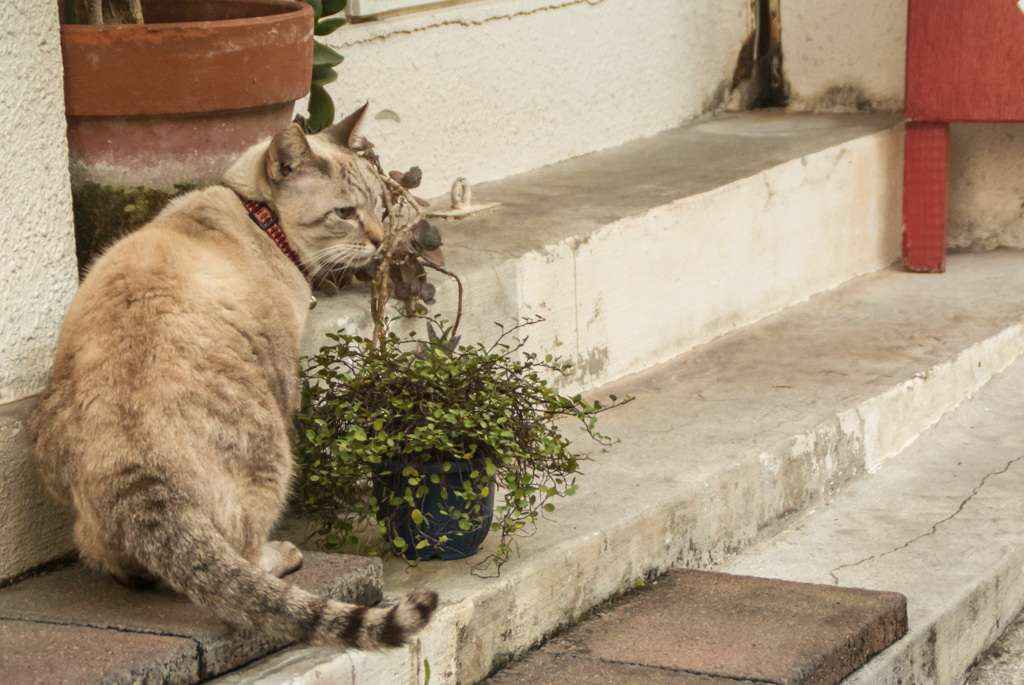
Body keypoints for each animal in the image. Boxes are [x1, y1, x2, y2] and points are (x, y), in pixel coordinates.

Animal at [28, 104, 436, 651]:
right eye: (345, 213)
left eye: (381, 210)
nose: (376, 241)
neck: (257, 217)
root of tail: (137, 481)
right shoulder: (284, 375)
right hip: (273, 448)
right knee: (244, 554)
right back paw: (282, 556)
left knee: (129, 568)